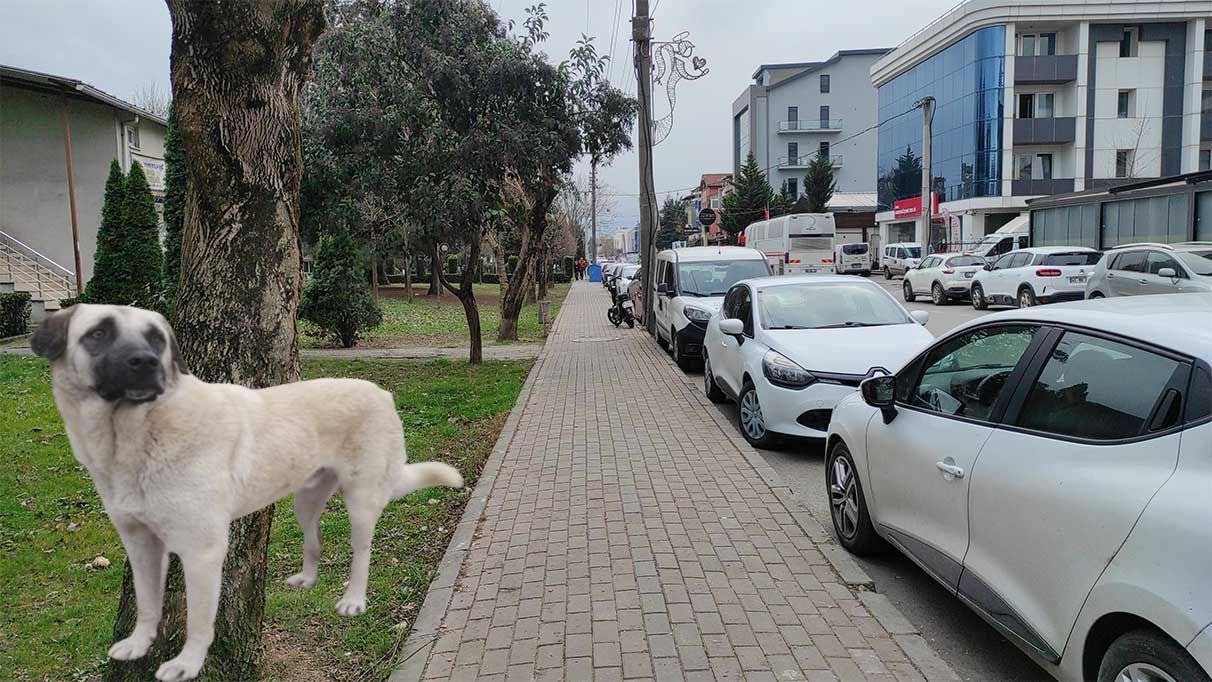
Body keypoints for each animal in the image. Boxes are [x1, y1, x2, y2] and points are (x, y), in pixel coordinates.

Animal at [29, 305, 462, 682]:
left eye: (156, 339)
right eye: (98, 333)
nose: (146, 362)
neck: (135, 437)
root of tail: (382, 392)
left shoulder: (201, 551)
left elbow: (199, 620)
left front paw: (187, 664)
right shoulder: (140, 543)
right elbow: (148, 603)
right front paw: (138, 643)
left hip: (360, 502)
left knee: (362, 552)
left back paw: (354, 600)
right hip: (305, 500)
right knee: (315, 541)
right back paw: (307, 579)